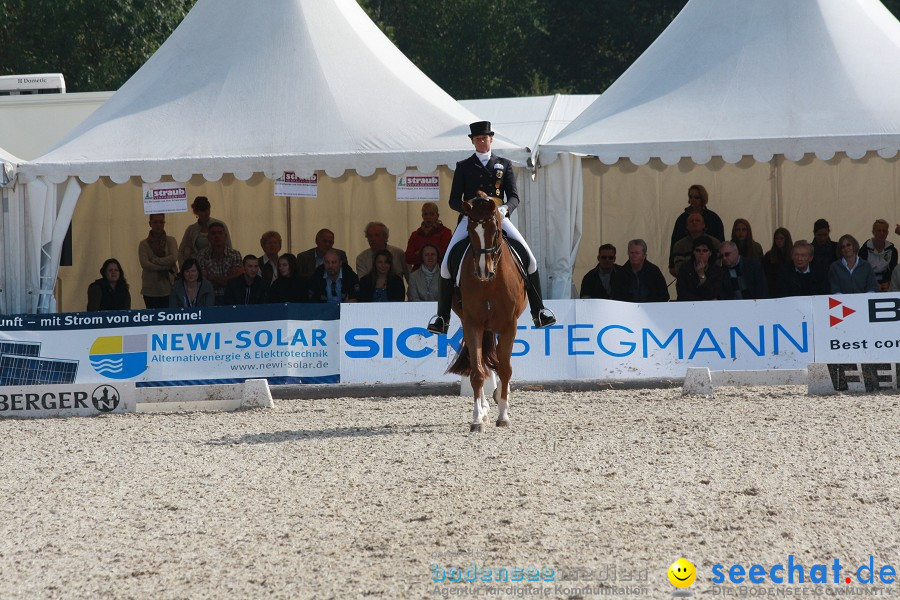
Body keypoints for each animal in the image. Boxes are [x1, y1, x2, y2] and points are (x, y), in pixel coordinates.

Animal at [448, 196, 528, 432]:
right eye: (470, 230)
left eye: (495, 230)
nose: (483, 271)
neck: (489, 284)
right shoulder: (472, 323)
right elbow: (477, 372)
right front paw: (477, 419)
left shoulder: (510, 324)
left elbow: (505, 369)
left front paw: (503, 415)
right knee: (482, 364)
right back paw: (483, 410)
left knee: (500, 363)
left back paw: (500, 394)